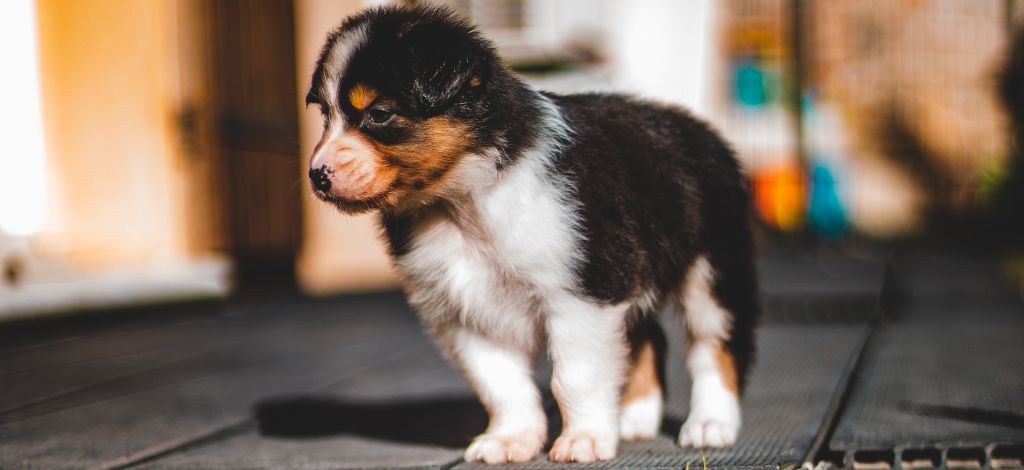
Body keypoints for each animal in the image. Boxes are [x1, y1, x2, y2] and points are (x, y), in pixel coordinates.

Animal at [306, 5, 758, 464]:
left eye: (379, 114)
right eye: (325, 115)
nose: (317, 177)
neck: (462, 200)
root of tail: (700, 128)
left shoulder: (581, 293)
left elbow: (575, 376)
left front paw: (584, 439)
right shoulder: (466, 310)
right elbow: (500, 384)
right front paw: (511, 439)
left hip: (712, 268)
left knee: (715, 344)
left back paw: (710, 425)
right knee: (649, 338)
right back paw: (635, 419)